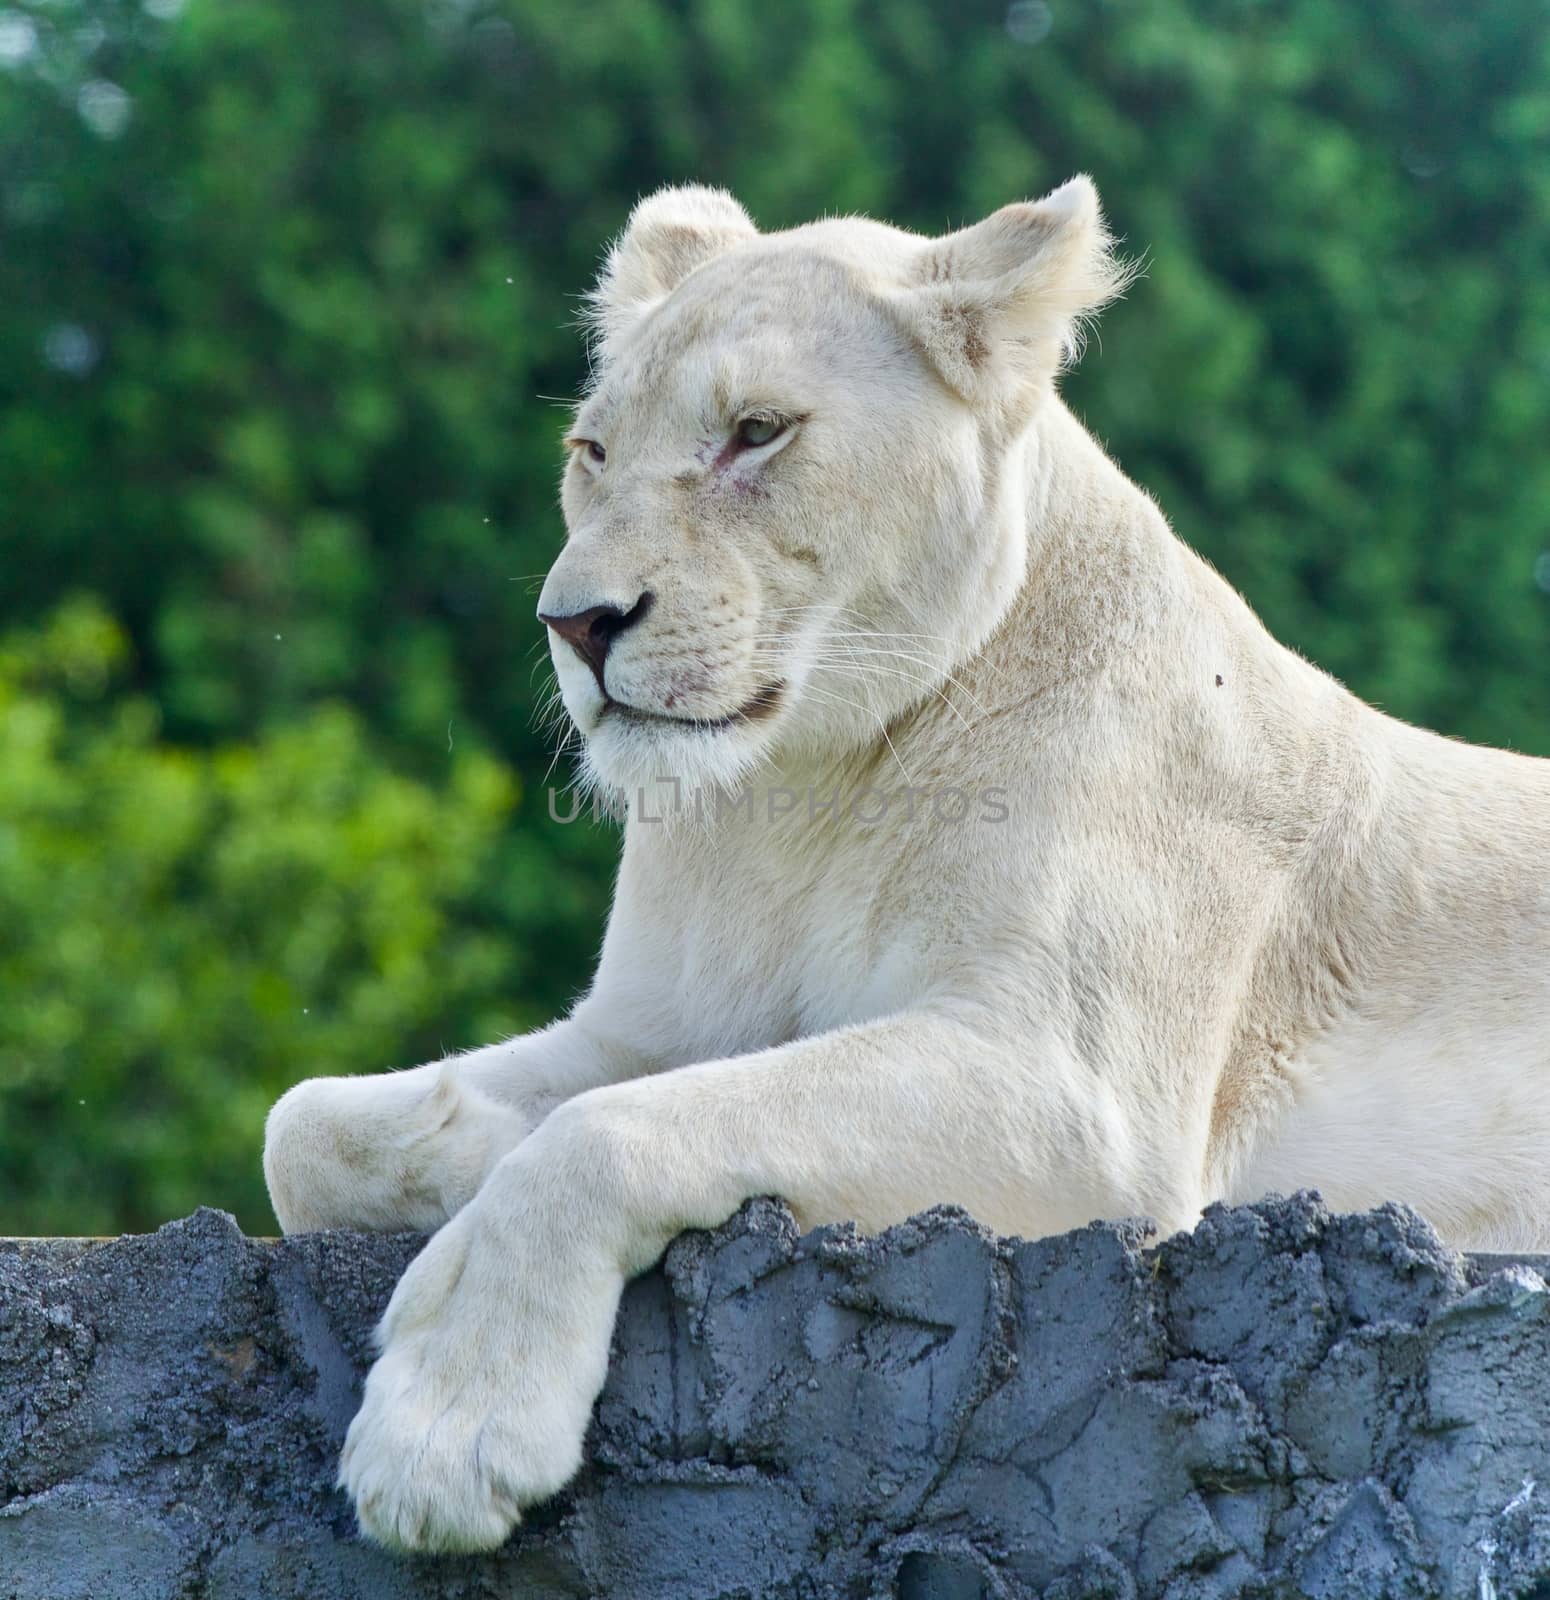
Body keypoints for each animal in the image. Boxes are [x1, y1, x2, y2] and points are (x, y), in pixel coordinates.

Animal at [260, 175, 1542, 1548]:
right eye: (591, 451)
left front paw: (447, 1429)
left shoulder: (1080, 1102)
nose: (578, 623)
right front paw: (463, 1152)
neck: (801, 796)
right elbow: (306, 1123)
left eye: (755, 432)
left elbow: (605, 1130)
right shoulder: (650, 1022)